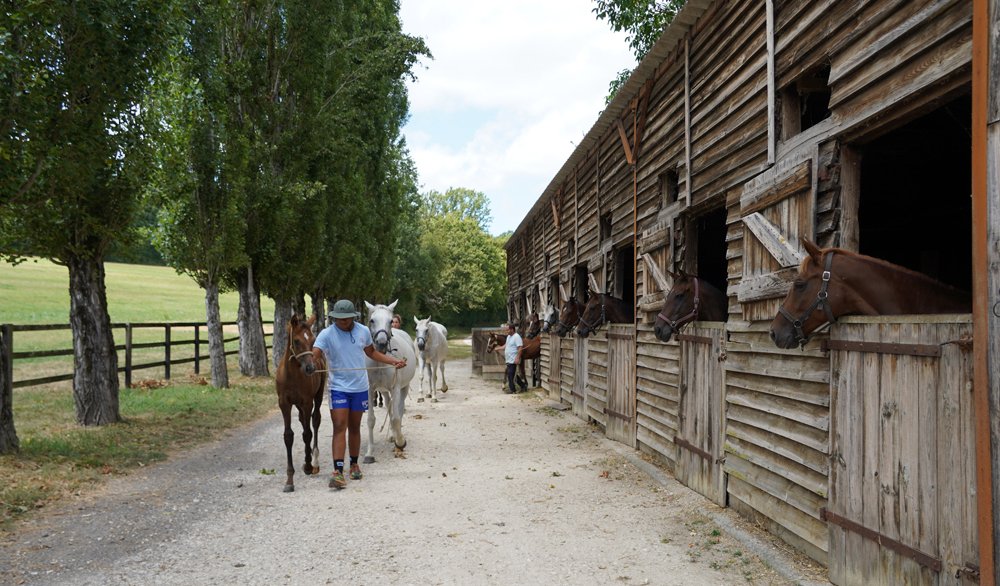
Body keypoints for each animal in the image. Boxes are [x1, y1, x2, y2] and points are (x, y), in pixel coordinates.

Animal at [274, 314, 326, 492]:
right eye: (296, 341)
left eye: (312, 339)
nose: (310, 368)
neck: (292, 376)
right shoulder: (284, 404)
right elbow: (288, 436)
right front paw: (289, 480)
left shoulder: (307, 402)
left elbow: (307, 433)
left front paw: (309, 466)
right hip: (298, 405)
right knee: (304, 421)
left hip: (317, 396)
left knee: (314, 421)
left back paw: (313, 459)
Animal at [363, 300, 417, 462]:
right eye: (372, 320)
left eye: (390, 321)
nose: (381, 343)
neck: (381, 360)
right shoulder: (371, 389)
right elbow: (371, 420)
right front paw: (369, 452)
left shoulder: (395, 388)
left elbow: (396, 418)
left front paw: (401, 442)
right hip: (384, 391)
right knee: (389, 406)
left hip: (403, 388)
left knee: (398, 409)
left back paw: (396, 437)